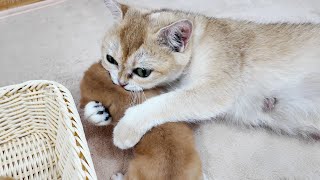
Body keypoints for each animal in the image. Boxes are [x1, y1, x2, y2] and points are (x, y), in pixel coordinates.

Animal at [101, 0, 320, 149]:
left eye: (142, 72)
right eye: (110, 59)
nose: (120, 82)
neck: (199, 41)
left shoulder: (216, 89)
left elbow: (166, 101)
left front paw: (126, 127)